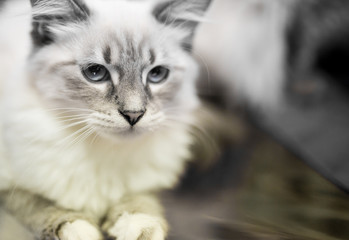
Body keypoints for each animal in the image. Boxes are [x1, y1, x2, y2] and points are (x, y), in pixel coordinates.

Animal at [0, 0, 209, 240]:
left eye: (157, 74)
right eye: (95, 72)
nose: (133, 115)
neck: (103, 150)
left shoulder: (147, 185)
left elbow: (141, 202)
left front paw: (138, 226)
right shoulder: (9, 187)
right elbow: (40, 204)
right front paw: (80, 231)